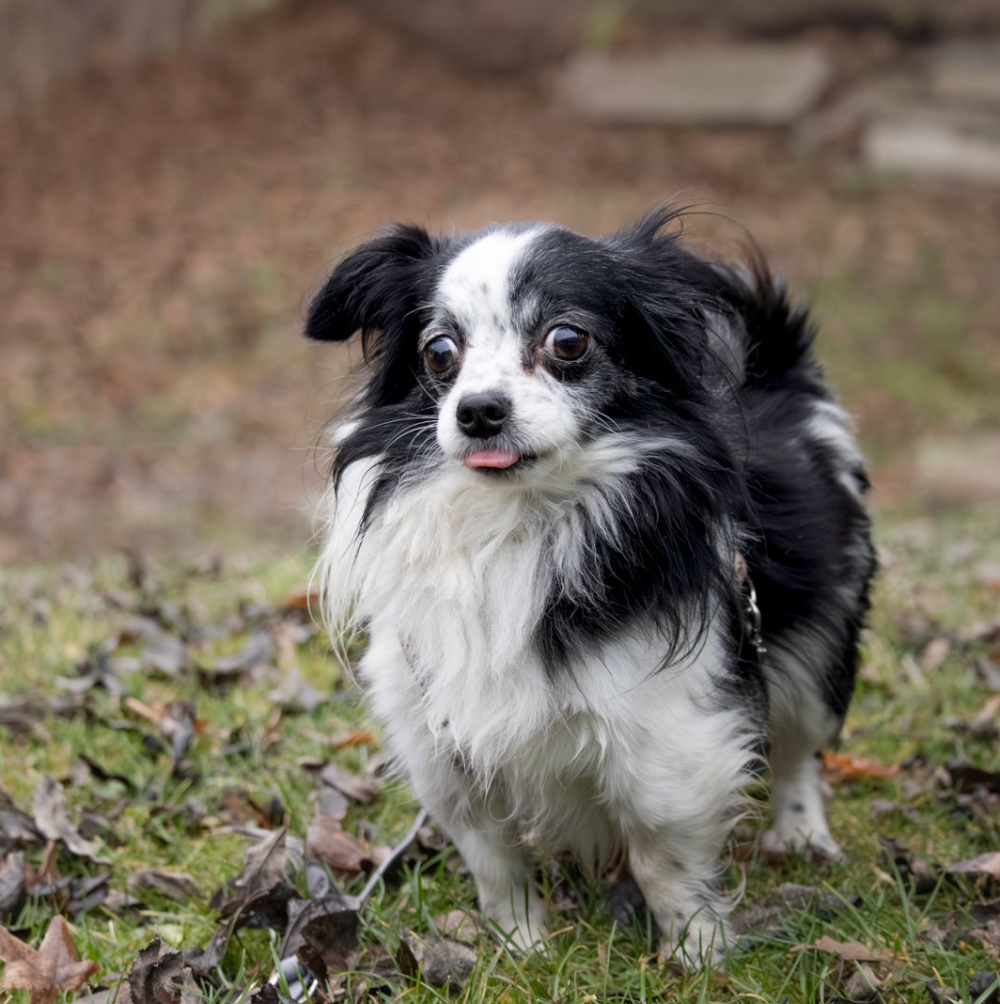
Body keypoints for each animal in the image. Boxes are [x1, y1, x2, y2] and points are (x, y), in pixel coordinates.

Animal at [306, 208, 876, 967]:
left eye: (567, 341)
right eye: (439, 353)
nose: (477, 410)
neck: (518, 528)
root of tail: (782, 380)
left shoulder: (665, 738)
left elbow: (663, 858)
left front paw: (696, 953)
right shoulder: (440, 742)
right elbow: (493, 857)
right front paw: (520, 945)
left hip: (820, 648)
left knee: (799, 749)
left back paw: (801, 831)